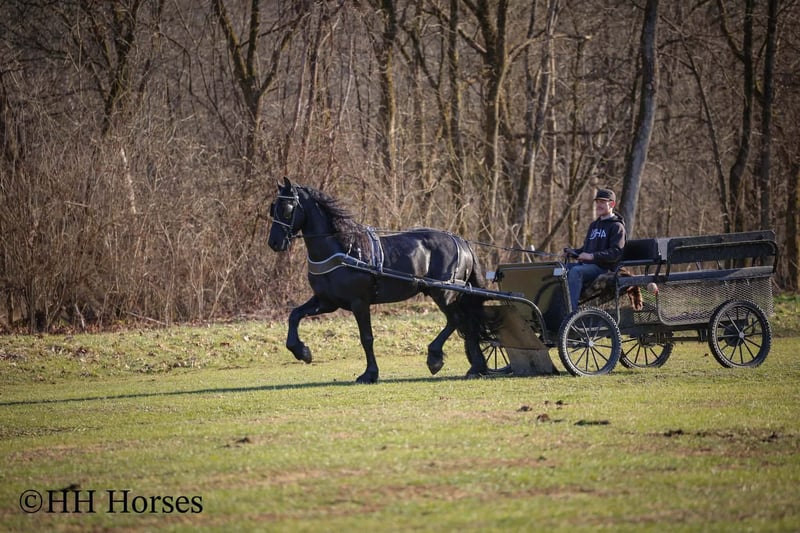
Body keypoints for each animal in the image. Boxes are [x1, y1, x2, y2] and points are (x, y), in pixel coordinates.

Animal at [267, 177, 492, 384]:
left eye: (287, 209)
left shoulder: (359, 303)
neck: (343, 249)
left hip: (443, 293)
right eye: (272, 208)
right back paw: (476, 367)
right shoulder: (326, 302)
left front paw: (369, 374)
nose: (274, 243)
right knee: (468, 323)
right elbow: (294, 315)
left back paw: (437, 358)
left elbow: (366, 338)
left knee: (457, 320)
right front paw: (302, 352)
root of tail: (461, 241)